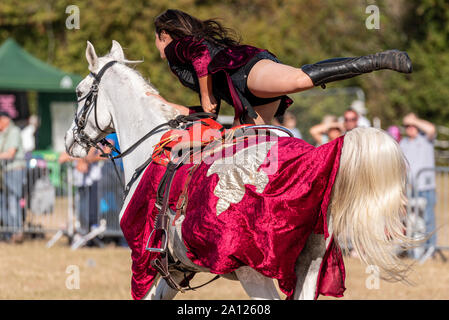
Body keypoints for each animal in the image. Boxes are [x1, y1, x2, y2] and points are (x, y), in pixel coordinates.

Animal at [65, 40, 414, 300]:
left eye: (79, 93)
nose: (70, 141)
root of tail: (318, 155)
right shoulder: (172, 270)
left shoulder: (145, 267)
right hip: (312, 266)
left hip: (254, 273)